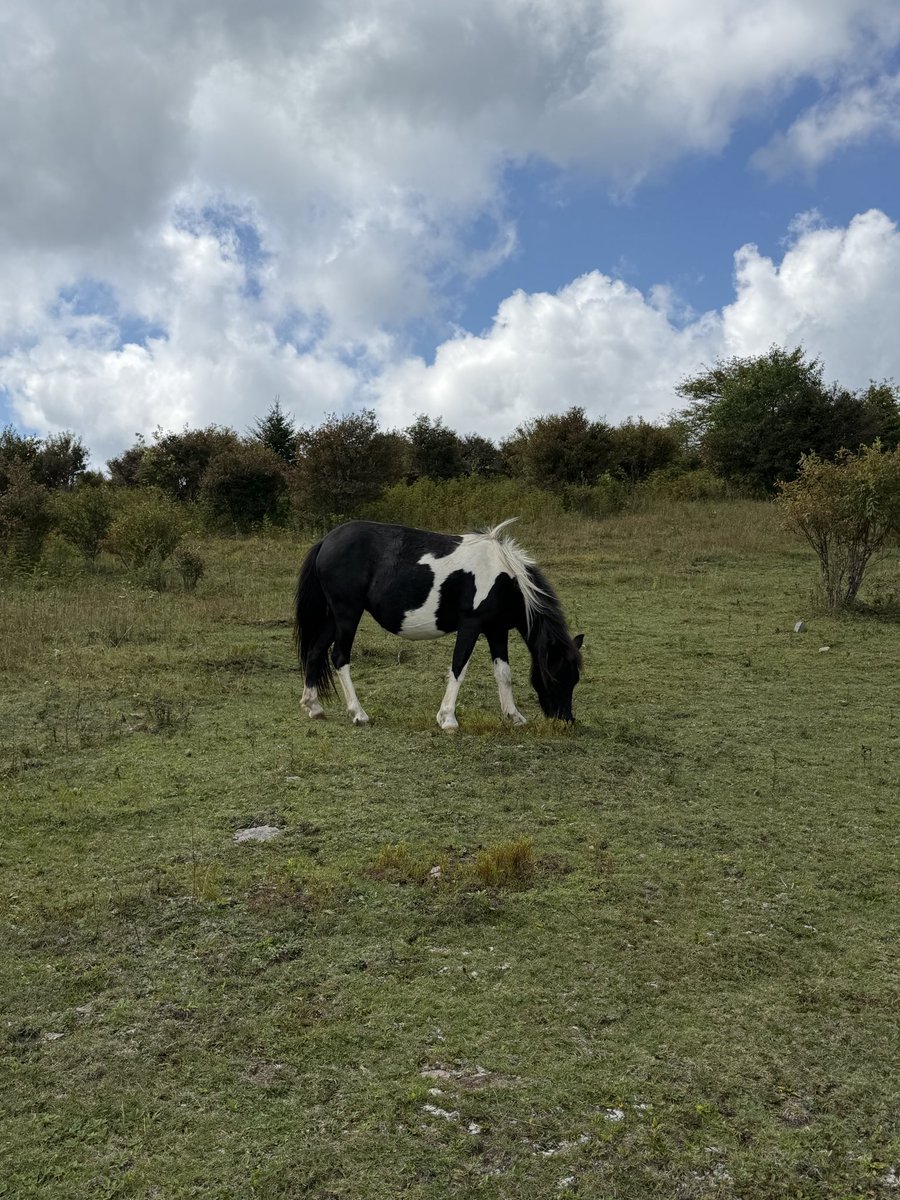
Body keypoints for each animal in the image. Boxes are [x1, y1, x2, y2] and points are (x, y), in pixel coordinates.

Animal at [293, 518, 583, 730]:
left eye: (575, 678)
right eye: (557, 676)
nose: (566, 720)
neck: (504, 578)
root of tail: (326, 541)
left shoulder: (496, 630)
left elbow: (503, 673)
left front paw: (514, 716)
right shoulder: (471, 626)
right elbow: (458, 667)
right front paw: (448, 719)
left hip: (334, 618)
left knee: (315, 651)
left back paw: (314, 707)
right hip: (347, 614)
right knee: (340, 657)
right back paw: (359, 713)